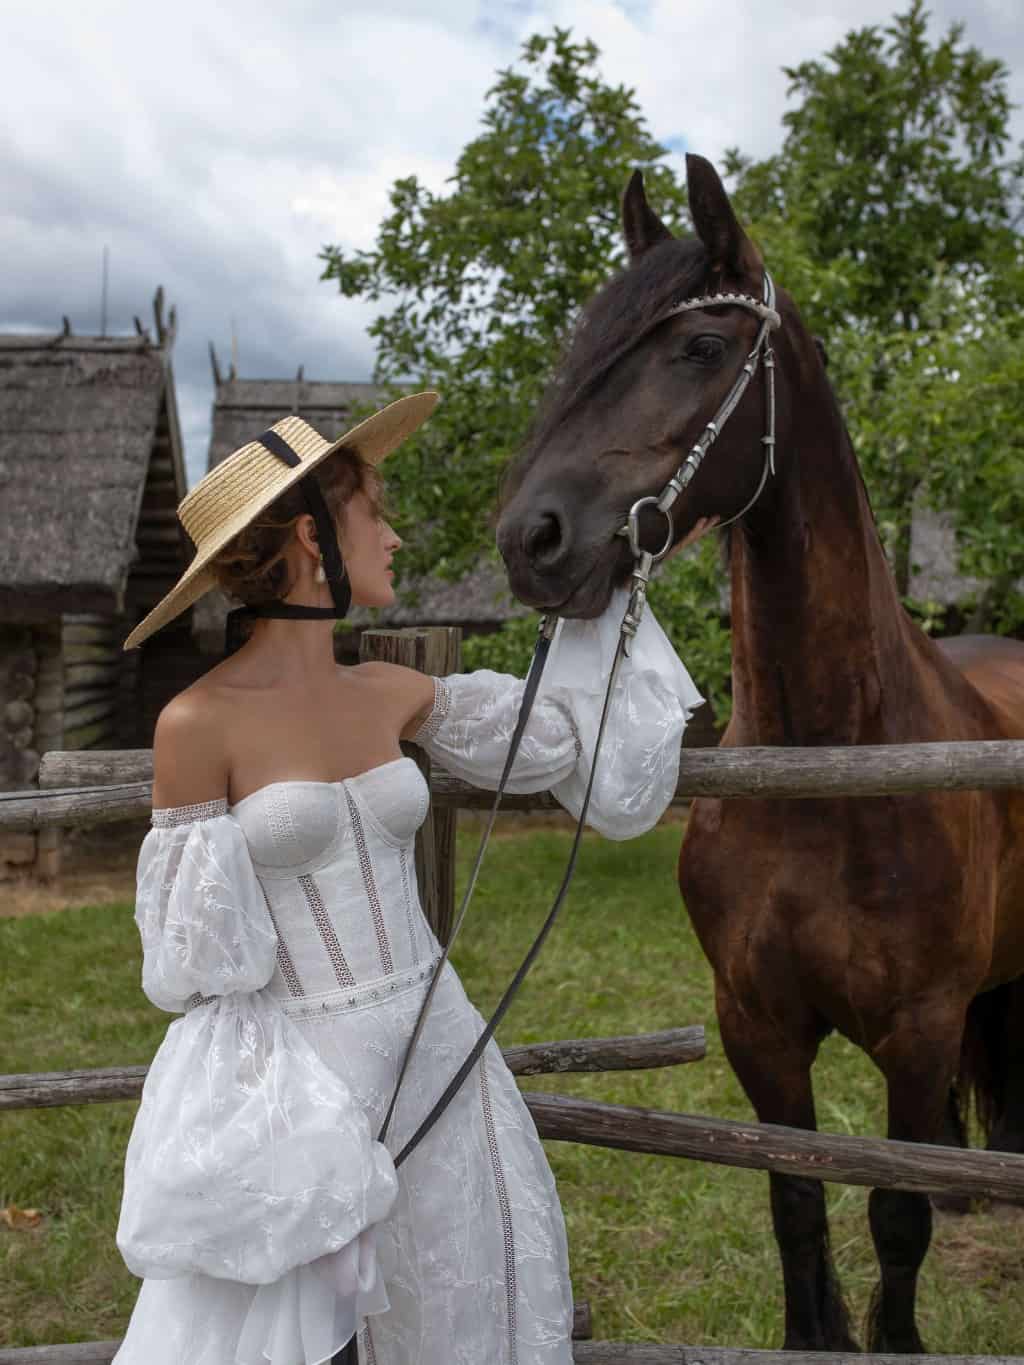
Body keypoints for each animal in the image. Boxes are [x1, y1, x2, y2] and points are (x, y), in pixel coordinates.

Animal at [496, 154, 1024, 1348]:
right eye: (580, 347)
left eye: (699, 347)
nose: (528, 539)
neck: (832, 767)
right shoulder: (759, 1030)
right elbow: (795, 1197)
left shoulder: (916, 1031)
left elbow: (893, 1215)